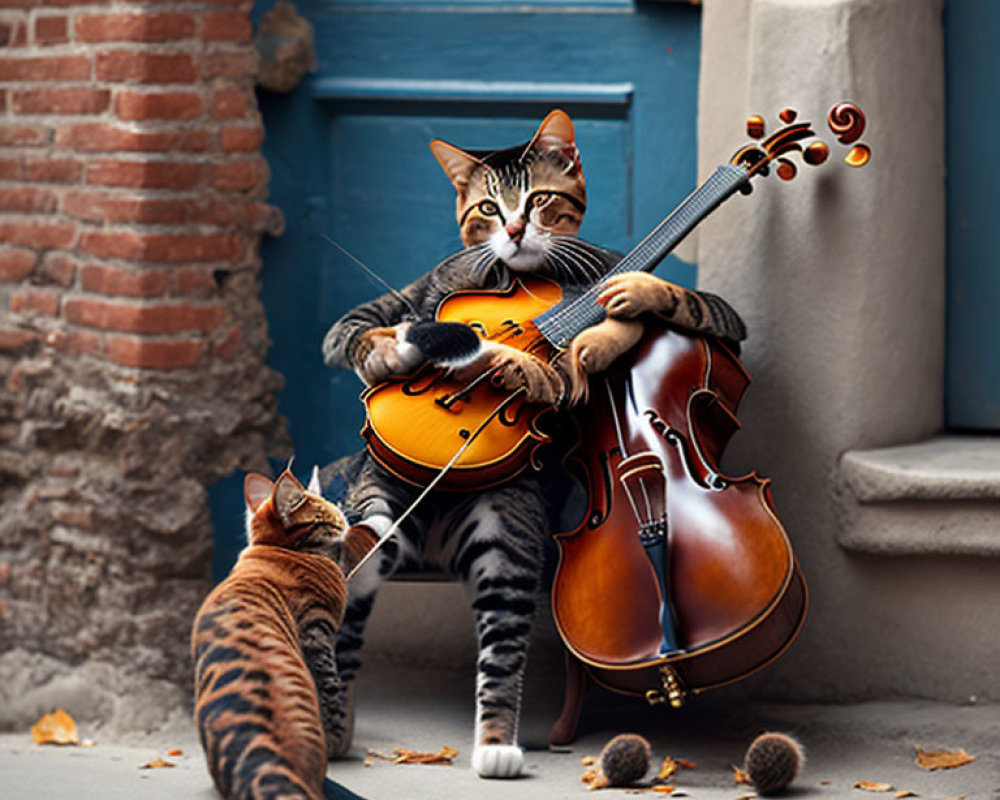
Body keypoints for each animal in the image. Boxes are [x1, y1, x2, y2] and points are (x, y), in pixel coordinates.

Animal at [316, 109, 748, 780]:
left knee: (498, 645)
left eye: (539, 201)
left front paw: (602, 325)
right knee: (355, 579)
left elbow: (686, 305)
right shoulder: (398, 299)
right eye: (489, 209)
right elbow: (354, 328)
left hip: (506, 537)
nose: (517, 231)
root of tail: (434, 519)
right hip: (378, 494)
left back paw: (496, 746)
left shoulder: (703, 309)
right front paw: (413, 351)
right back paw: (335, 725)